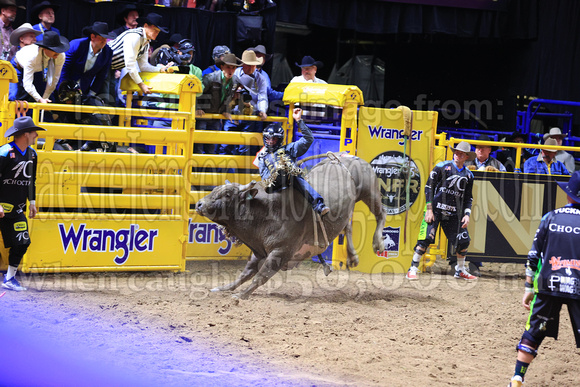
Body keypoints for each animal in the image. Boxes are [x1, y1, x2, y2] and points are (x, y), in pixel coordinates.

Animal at [195, 155, 386, 300]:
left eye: (227, 194)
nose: (198, 204)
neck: (266, 210)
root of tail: (347, 157)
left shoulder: (281, 252)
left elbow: (260, 276)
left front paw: (240, 295)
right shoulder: (259, 250)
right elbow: (246, 273)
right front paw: (223, 288)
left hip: (370, 191)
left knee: (381, 213)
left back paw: (378, 243)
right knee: (348, 227)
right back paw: (352, 257)